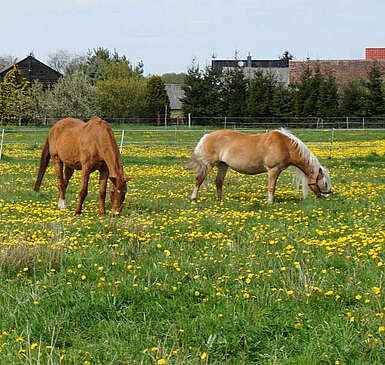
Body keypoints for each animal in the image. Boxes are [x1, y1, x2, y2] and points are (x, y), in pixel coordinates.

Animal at [188, 128, 330, 202]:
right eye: (324, 183)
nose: (326, 196)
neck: (285, 145)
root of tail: (206, 136)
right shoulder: (273, 170)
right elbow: (272, 187)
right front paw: (270, 202)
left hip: (223, 165)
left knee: (218, 182)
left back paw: (220, 200)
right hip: (207, 164)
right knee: (198, 180)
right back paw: (193, 198)